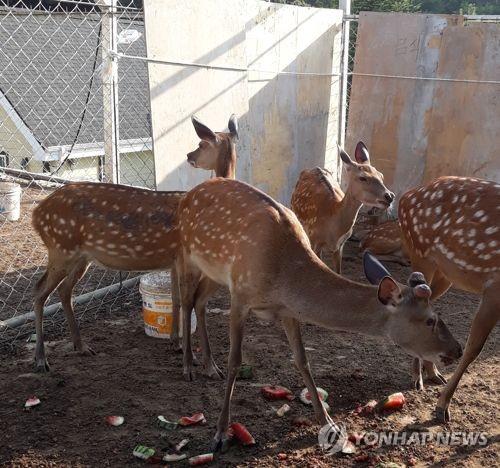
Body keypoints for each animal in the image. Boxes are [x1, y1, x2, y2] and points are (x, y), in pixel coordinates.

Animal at [31, 114, 238, 372]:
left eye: (201, 145)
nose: (189, 155)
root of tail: (36, 214)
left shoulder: (175, 260)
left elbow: (177, 299)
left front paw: (178, 344)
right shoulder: (185, 258)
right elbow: (188, 301)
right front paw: (195, 360)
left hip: (81, 257)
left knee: (64, 290)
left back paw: (81, 346)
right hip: (61, 248)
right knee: (40, 291)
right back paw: (41, 358)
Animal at [176, 177, 460, 448]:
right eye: (430, 320)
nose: (456, 349)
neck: (282, 275)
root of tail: (189, 194)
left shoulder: (287, 309)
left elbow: (303, 360)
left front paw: (328, 423)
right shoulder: (240, 296)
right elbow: (235, 361)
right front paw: (221, 433)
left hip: (216, 272)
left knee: (200, 301)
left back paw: (210, 366)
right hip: (188, 255)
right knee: (187, 300)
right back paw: (189, 365)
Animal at [292, 143, 396, 274]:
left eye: (381, 175)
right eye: (363, 177)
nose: (389, 196)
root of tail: (311, 168)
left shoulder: (341, 245)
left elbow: (338, 272)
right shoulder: (314, 239)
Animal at [398, 176, 500, 424]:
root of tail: (405, 196)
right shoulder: (495, 285)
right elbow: (474, 347)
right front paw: (442, 407)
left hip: (446, 273)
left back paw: (433, 373)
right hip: (420, 251)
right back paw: (418, 377)